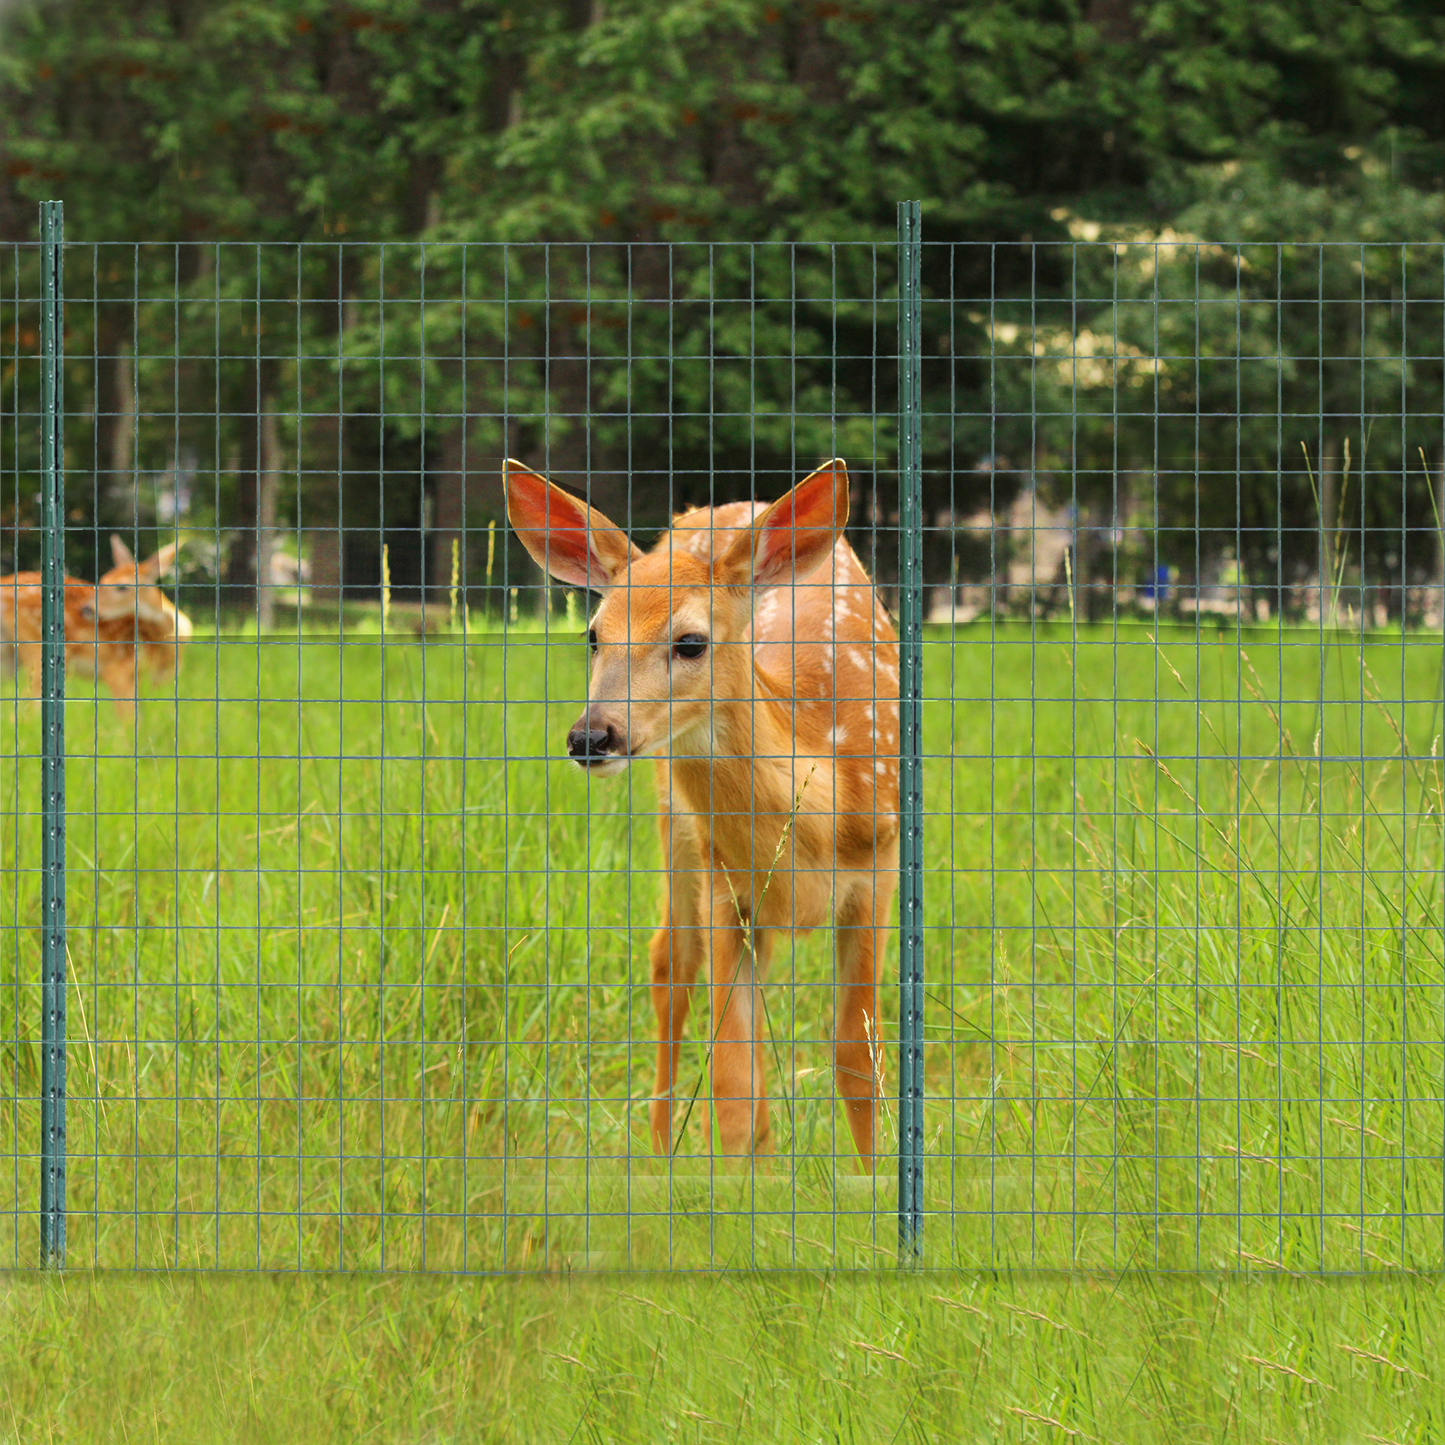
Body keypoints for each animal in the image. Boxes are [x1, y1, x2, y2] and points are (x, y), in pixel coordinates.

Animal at [502, 462, 895, 1173]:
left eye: (690, 642)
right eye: (593, 635)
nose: (590, 736)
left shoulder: (877, 875)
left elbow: (857, 1059)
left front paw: (875, 1186)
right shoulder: (721, 886)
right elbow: (732, 1082)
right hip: (677, 828)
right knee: (670, 965)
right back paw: (661, 1157)